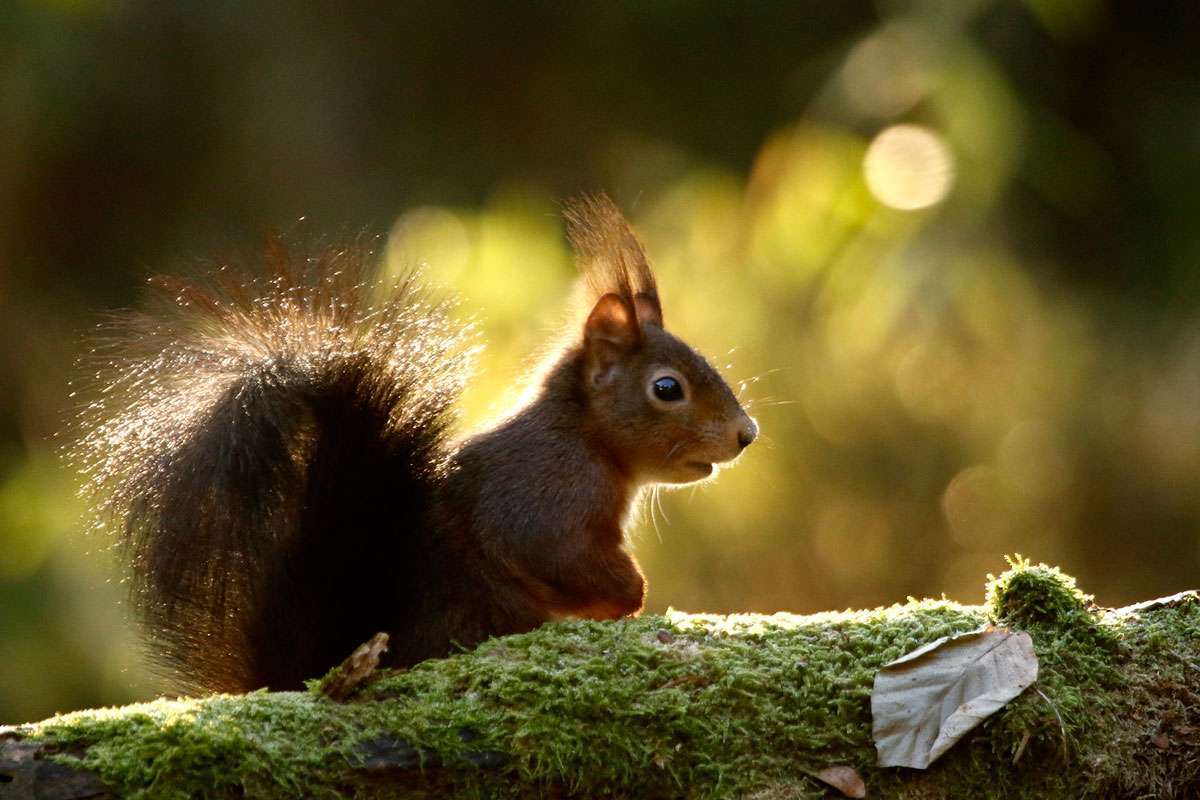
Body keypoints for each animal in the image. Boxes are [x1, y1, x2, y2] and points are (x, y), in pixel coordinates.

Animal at [70, 195, 753, 695]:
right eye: (667, 388)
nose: (747, 435)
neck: (587, 438)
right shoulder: (547, 488)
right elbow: (549, 549)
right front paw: (630, 595)